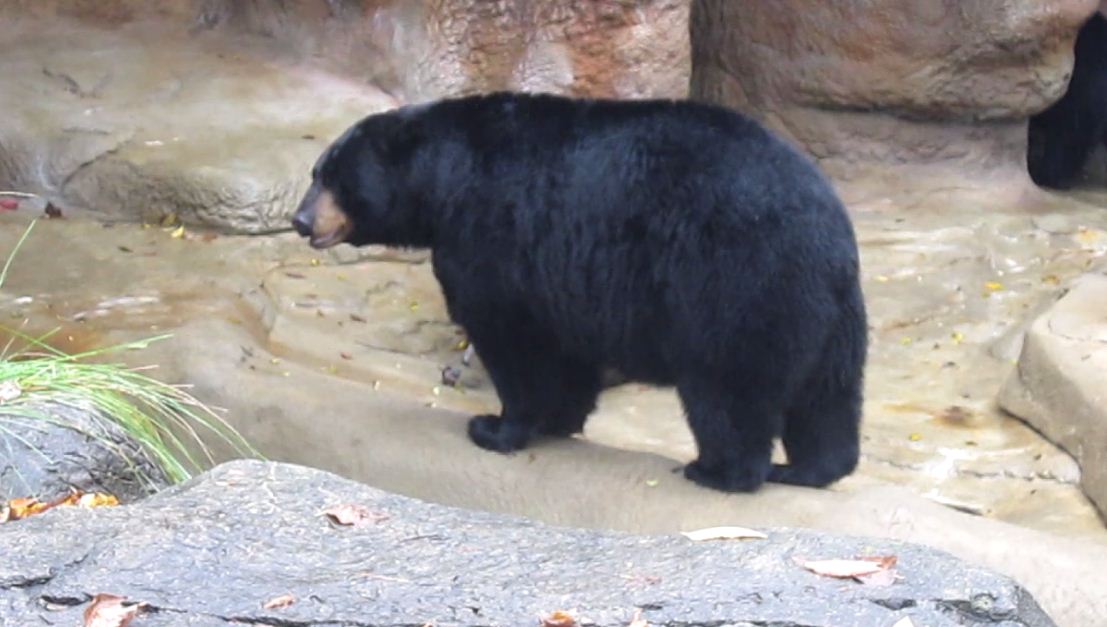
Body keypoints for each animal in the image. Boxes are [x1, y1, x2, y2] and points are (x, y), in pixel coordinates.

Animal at [291, 92, 867, 493]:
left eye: (332, 177)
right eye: (317, 171)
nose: (300, 220)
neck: (445, 178)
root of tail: (826, 227)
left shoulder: (495, 233)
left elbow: (513, 337)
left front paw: (495, 427)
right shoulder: (562, 276)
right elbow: (563, 348)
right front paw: (558, 420)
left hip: (732, 279)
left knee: (728, 383)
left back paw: (719, 470)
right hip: (830, 307)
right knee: (829, 393)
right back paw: (809, 469)